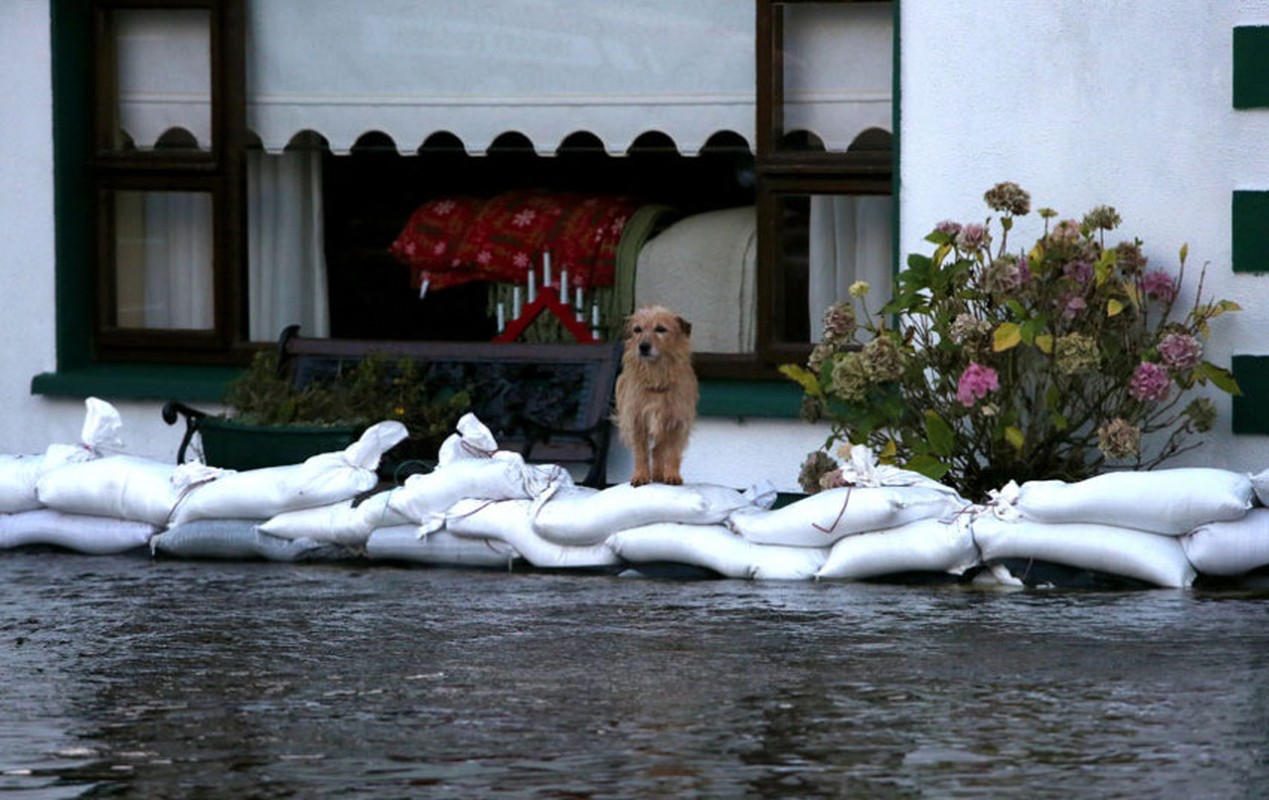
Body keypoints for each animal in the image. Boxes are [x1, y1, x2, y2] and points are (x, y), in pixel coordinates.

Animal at [611, 306, 700, 485]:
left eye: (660, 329)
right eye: (637, 329)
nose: (643, 347)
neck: (656, 377)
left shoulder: (676, 422)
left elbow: (672, 453)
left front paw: (672, 475)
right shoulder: (636, 421)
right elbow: (641, 453)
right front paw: (640, 475)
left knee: (659, 450)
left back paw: (660, 474)